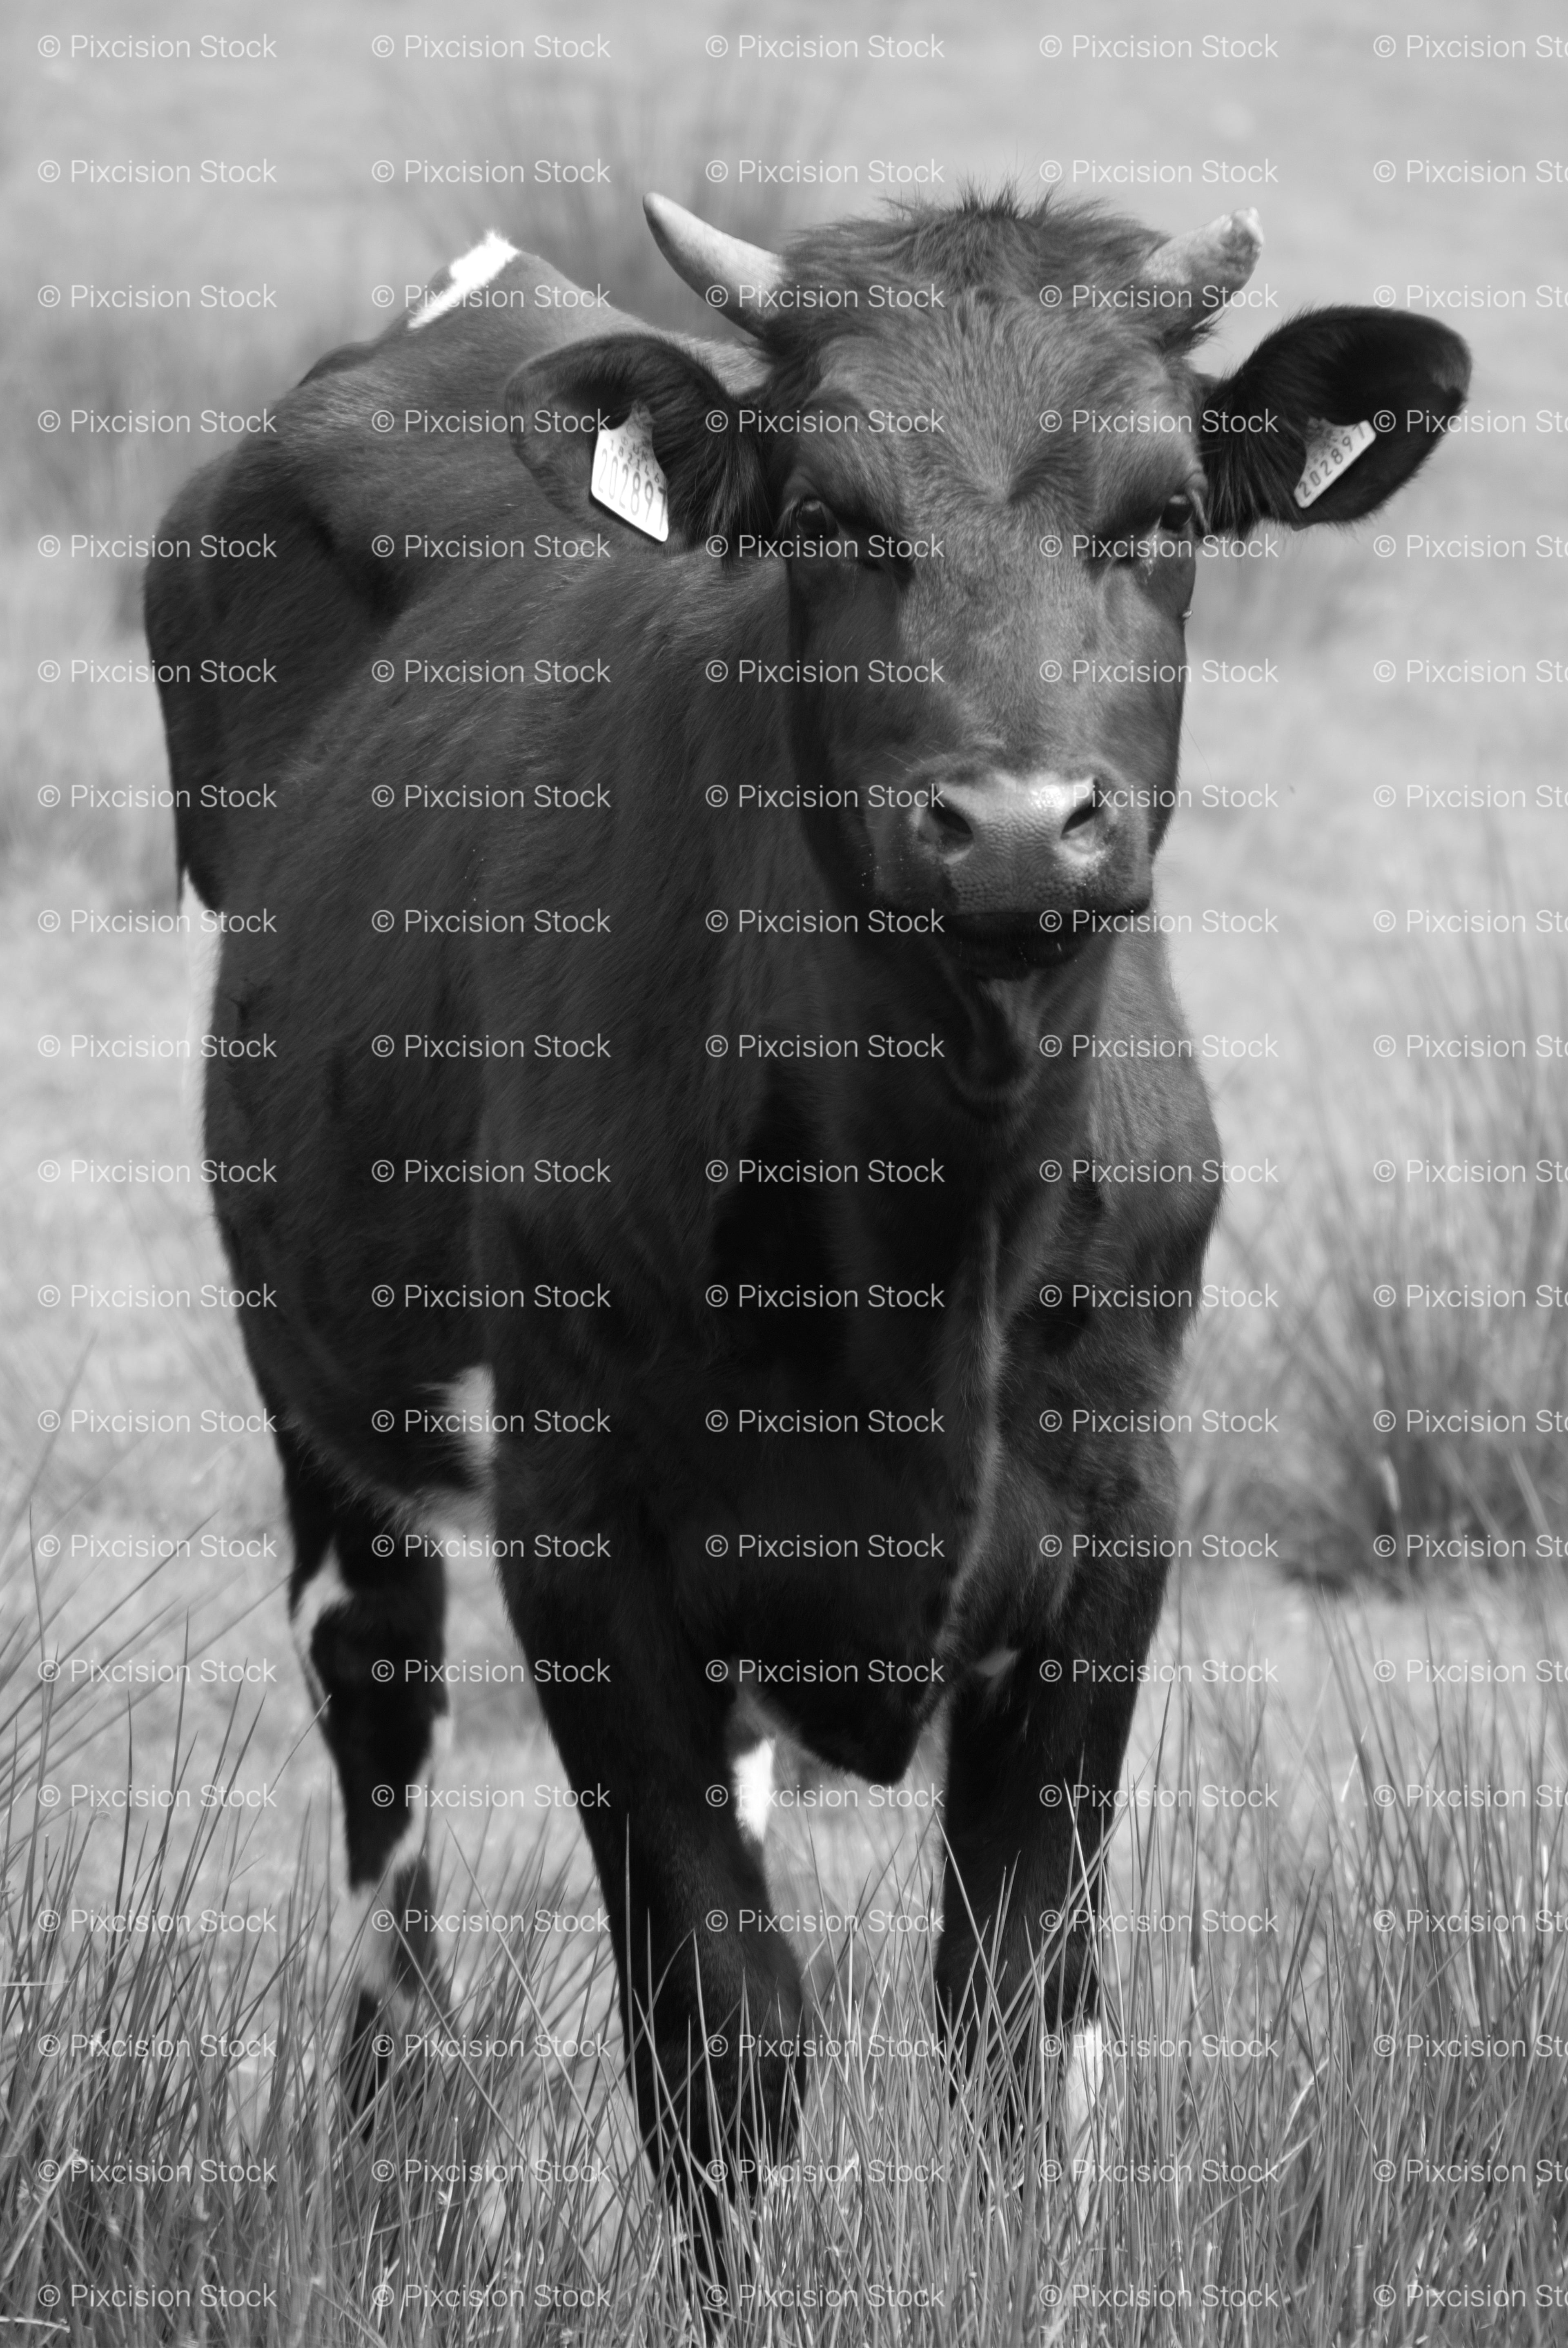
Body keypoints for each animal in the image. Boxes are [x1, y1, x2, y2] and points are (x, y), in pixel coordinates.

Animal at [145, 190, 1468, 2259]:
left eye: (1166, 510)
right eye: (833, 516)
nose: (1012, 824)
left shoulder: (1118, 1514)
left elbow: (1024, 2020)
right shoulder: (582, 1528)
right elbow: (721, 2023)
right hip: (320, 1382)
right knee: (379, 1736)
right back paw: (395, 2150)